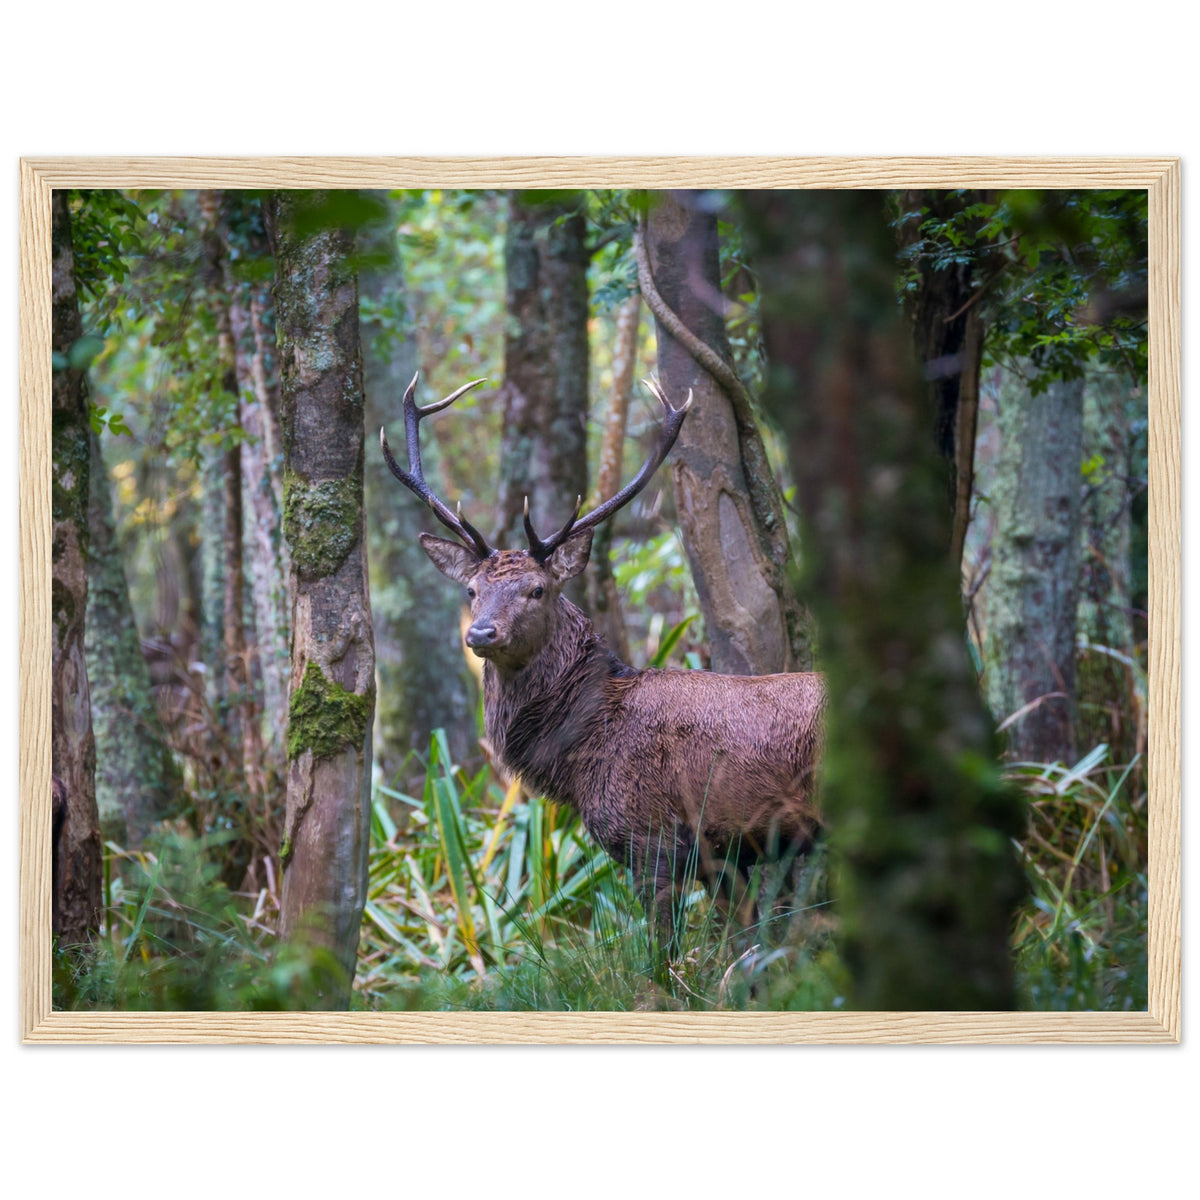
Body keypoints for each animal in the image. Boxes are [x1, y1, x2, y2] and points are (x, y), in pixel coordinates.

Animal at [381, 374, 825, 950]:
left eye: (537, 589)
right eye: (472, 590)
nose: (480, 632)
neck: (579, 755)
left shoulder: (651, 837)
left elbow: (663, 952)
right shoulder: (721, 855)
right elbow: (748, 941)